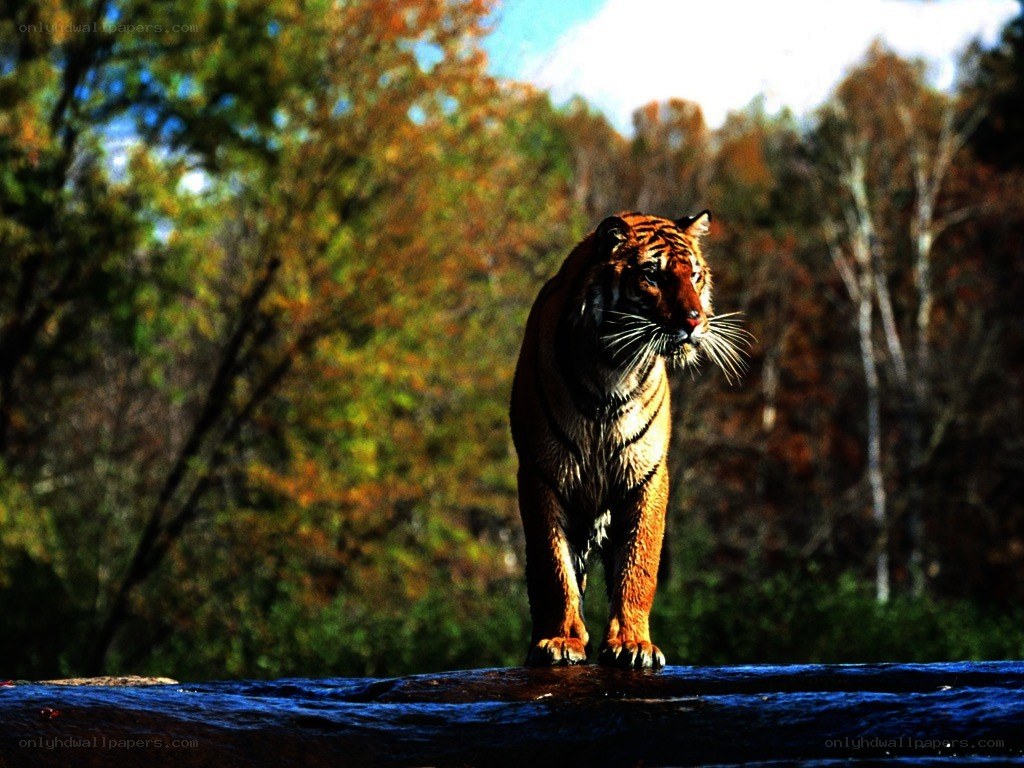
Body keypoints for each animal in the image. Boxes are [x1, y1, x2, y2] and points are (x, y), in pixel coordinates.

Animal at [509, 210, 748, 668]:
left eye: (694, 275)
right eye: (652, 276)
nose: (694, 321)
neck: (611, 369)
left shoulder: (648, 475)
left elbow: (640, 564)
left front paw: (632, 644)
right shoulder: (542, 474)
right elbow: (554, 569)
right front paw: (561, 641)